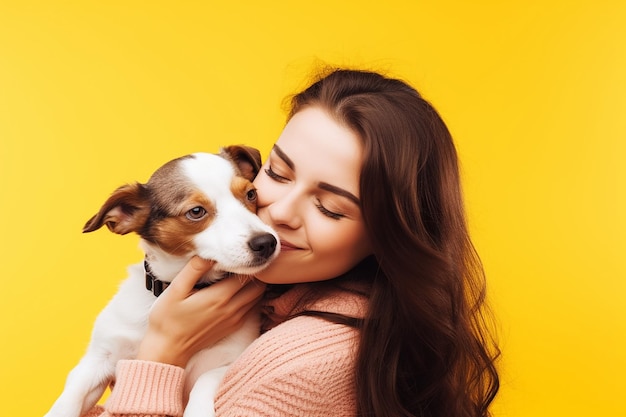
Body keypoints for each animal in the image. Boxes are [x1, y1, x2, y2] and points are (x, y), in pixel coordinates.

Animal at [44, 144, 278, 416]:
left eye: (251, 194)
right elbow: (71, 397)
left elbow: (205, 379)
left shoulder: (230, 361)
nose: (266, 242)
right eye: (196, 211)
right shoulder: (98, 358)